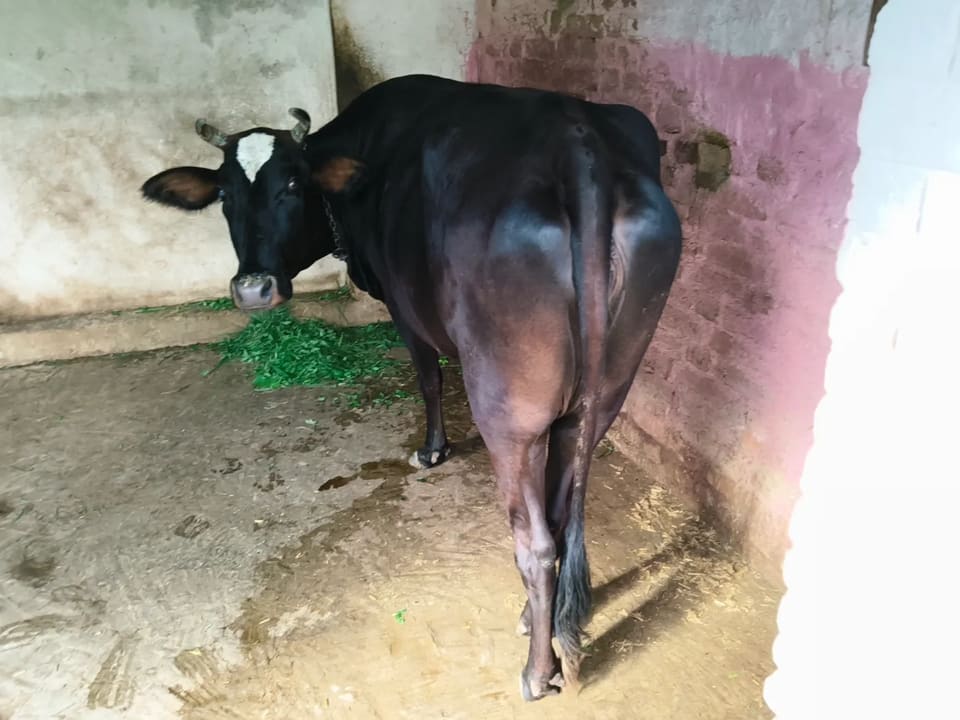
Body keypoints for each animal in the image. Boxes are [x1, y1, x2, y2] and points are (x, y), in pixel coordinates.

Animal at [141, 74, 681, 700]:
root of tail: (578, 144)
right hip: (606, 391)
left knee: (537, 543)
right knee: (562, 513)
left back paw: (536, 670)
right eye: (225, 195)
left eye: (293, 185)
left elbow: (427, 376)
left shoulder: (403, 307)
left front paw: (431, 449)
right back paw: (534, 622)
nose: (253, 288)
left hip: (509, 412)